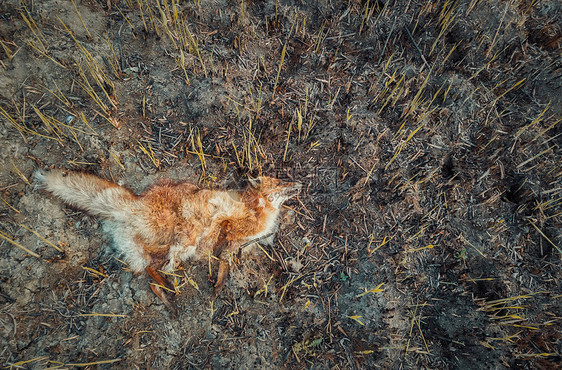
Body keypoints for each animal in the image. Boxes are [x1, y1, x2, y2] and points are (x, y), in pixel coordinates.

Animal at [35, 171, 300, 310]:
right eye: (281, 182)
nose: (298, 182)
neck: (256, 208)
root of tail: (134, 204)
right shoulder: (231, 231)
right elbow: (224, 258)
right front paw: (216, 290)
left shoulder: (234, 244)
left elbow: (225, 265)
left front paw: (217, 287)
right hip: (185, 242)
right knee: (155, 271)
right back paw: (170, 294)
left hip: (157, 250)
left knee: (149, 274)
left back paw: (166, 295)